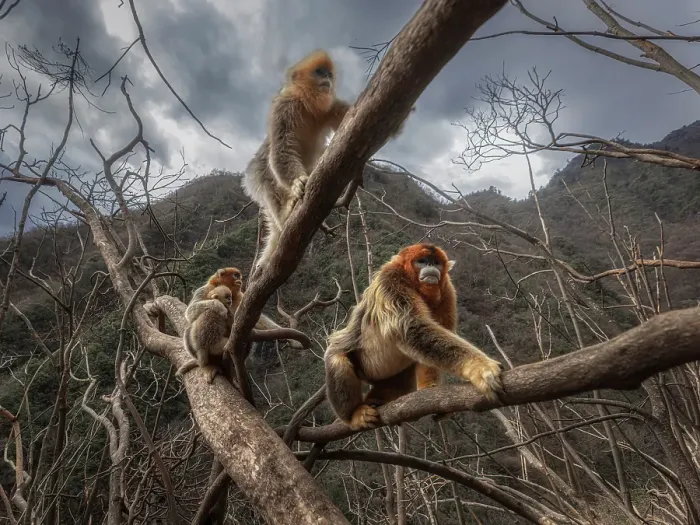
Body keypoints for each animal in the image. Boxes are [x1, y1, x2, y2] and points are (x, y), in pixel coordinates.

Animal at [243, 48, 413, 274]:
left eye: (329, 74)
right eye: (319, 72)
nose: (327, 79)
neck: (307, 105)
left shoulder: (331, 107)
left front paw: (401, 118)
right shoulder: (283, 107)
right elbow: (281, 149)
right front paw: (297, 183)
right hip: (256, 173)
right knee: (267, 178)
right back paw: (285, 215)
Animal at [324, 243, 504, 431]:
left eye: (436, 262)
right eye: (422, 261)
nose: (431, 266)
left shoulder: (447, 290)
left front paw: (430, 389)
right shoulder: (391, 280)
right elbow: (413, 330)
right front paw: (479, 367)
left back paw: (377, 400)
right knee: (338, 360)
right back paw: (353, 415)